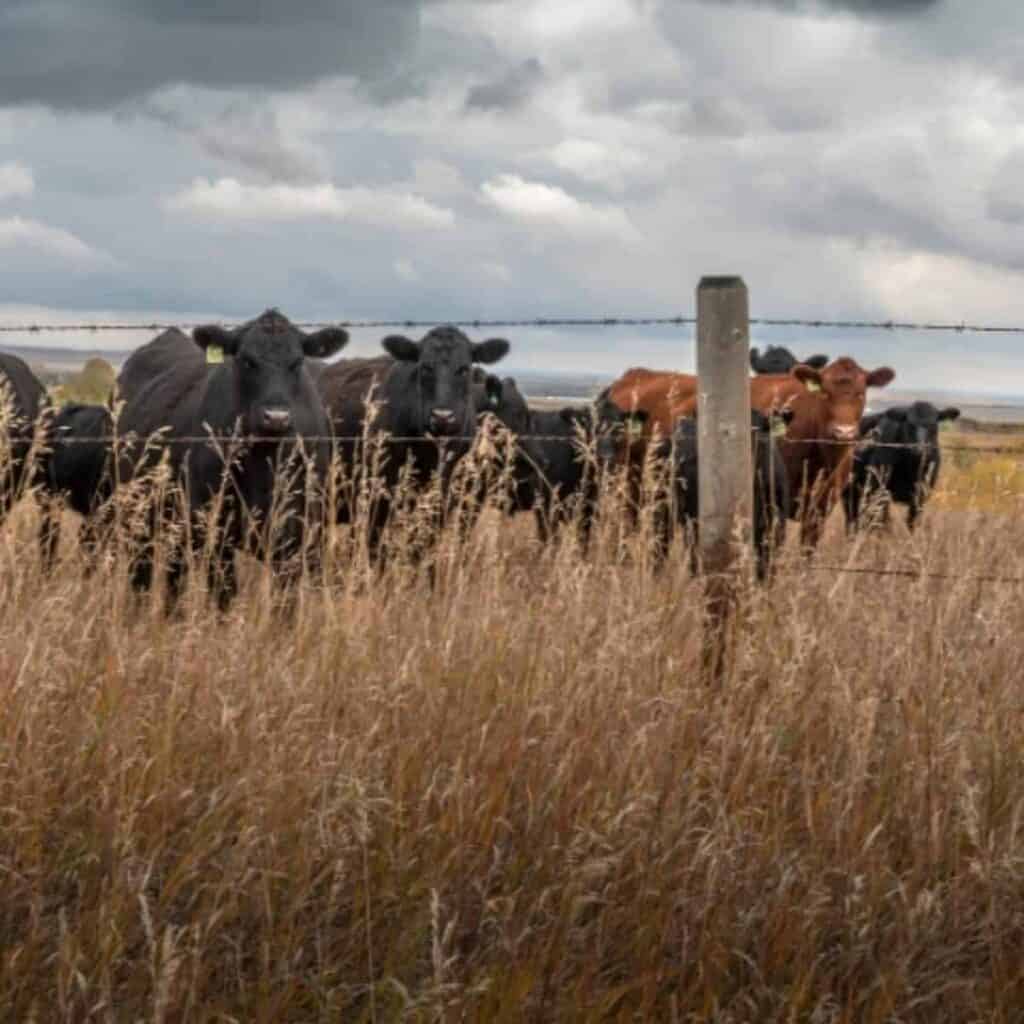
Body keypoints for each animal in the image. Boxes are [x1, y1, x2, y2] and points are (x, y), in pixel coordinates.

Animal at [114, 311, 348, 610]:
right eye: (247, 361)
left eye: (297, 362)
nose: (276, 417)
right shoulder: (216, 531)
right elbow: (225, 596)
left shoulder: (295, 534)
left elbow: (286, 602)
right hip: (138, 515)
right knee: (143, 573)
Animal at [317, 327, 509, 565]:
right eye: (425, 367)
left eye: (464, 369)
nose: (442, 416)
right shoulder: (378, 496)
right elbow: (377, 551)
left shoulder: (441, 501)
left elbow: (422, 550)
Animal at [843, 399, 954, 532]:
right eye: (909, 424)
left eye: (933, 424)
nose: (919, 449)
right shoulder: (879, 491)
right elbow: (880, 522)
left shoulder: (920, 498)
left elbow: (912, 524)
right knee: (853, 517)